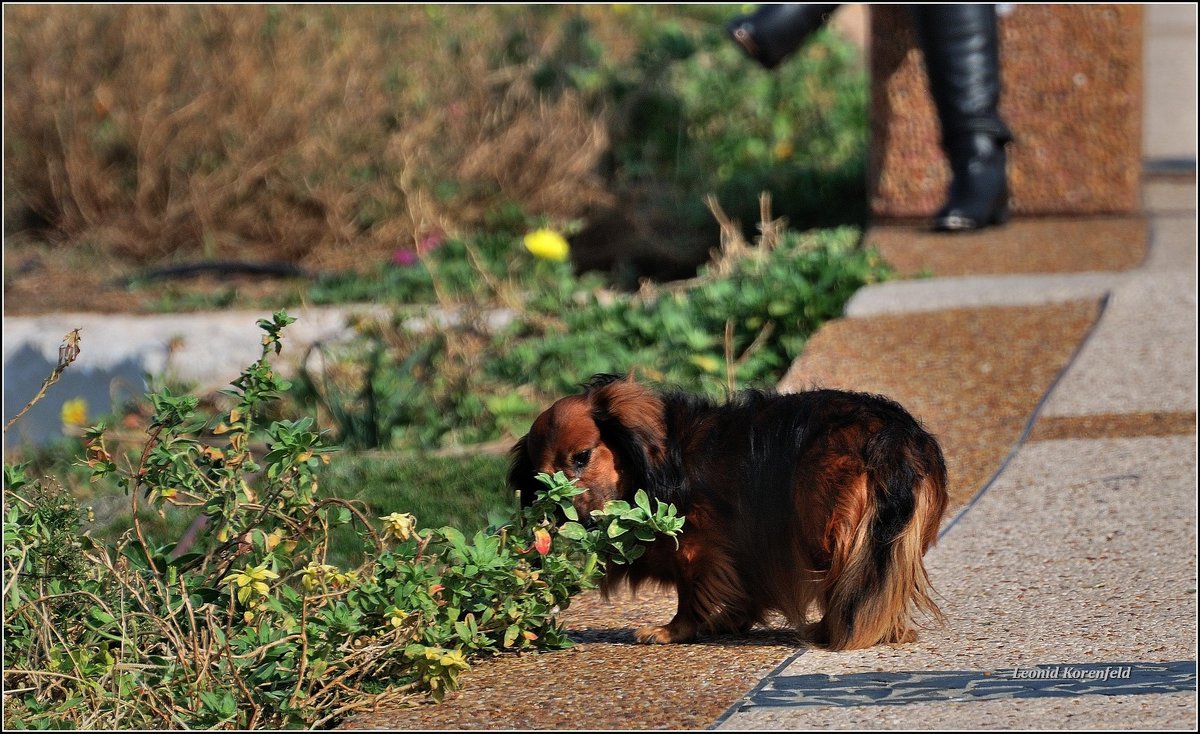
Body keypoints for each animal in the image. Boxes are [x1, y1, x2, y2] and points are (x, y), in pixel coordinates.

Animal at [506, 371, 945, 647]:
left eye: (582, 457)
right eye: (542, 482)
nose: (575, 520)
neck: (665, 458)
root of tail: (893, 435)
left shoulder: (697, 548)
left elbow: (689, 595)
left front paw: (672, 631)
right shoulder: (746, 545)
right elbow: (746, 587)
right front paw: (730, 621)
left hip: (822, 528)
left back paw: (830, 629)